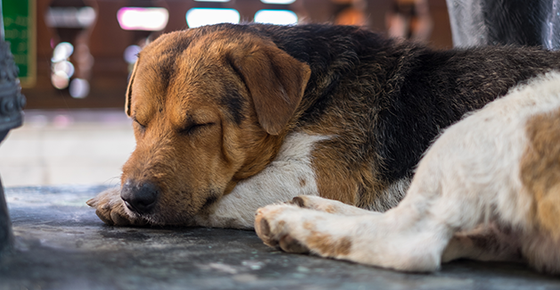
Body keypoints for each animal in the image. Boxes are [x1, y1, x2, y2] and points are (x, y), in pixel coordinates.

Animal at [88, 23, 560, 229]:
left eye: (199, 125)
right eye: (137, 122)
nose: (135, 197)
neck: (308, 97)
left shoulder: (314, 172)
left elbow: (233, 195)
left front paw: (113, 200)